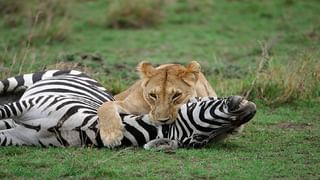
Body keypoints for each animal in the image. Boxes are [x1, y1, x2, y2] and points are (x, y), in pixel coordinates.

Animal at [0, 70, 255, 149]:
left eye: (200, 140)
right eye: (197, 103)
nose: (249, 111)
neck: (85, 129)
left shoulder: (18, 137)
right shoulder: (27, 105)